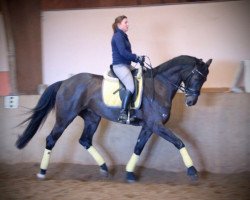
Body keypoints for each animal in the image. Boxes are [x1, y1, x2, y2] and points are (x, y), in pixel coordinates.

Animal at [15, 54, 212, 183]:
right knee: (51, 139)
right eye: (196, 76)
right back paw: (42, 172)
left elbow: (138, 147)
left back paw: (104, 168)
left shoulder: (149, 126)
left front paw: (130, 173)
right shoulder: (156, 125)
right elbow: (179, 142)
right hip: (65, 118)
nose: (191, 101)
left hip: (92, 118)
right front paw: (192, 171)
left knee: (85, 140)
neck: (160, 86)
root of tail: (65, 82)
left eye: (205, 79)